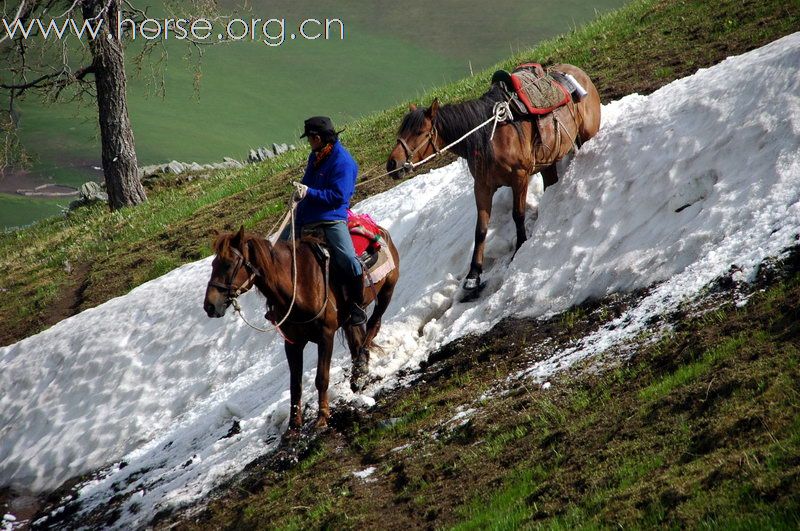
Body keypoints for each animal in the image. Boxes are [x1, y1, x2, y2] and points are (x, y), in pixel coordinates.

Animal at [202, 227, 398, 430]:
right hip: (349, 319)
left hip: (386, 292)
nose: (210, 306)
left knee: (373, 325)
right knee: (356, 341)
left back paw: (360, 363)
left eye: (228, 264)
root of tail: (381, 231)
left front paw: (322, 417)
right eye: (214, 264)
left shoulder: (326, 336)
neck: (298, 288)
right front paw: (293, 425)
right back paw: (357, 376)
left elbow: (321, 378)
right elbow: (295, 385)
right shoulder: (293, 344)